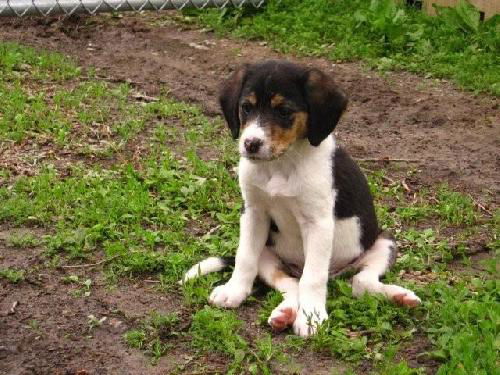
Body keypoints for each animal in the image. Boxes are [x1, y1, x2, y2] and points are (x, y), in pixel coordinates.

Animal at [182, 60, 420, 336]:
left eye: (284, 111)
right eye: (246, 107)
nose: (250, 144)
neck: (282, 164)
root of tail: (335, 273)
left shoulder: (318, 223)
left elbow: (313, 277)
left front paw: (311, 316)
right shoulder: (253, 213)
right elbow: (244, 257)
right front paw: (234, 290)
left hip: (383, 242)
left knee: (359, 282)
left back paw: (399, 296)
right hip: (268, 255)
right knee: (292, 284)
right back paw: (284, 313)